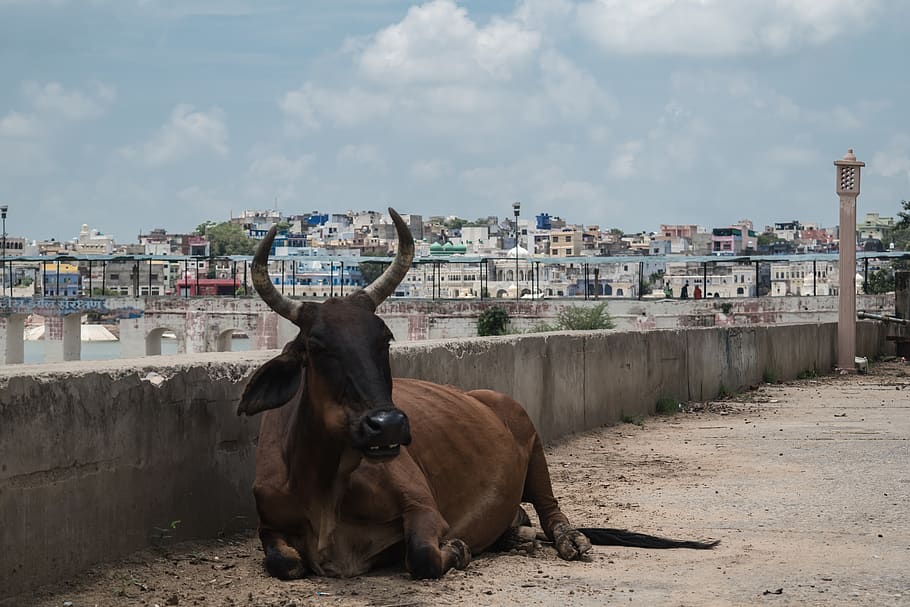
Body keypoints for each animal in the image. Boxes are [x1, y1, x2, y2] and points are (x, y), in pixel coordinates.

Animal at [237, 208, 718, 581]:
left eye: (385, 338)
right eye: (315, 346)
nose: (387, 425)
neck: (324, 488)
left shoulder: (424, 507)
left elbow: (423, 556)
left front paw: (458, 549)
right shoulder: (268, 525)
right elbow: (285, 563)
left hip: (526, 429)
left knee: (551, 510)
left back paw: (565, 540)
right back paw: (516, 536)